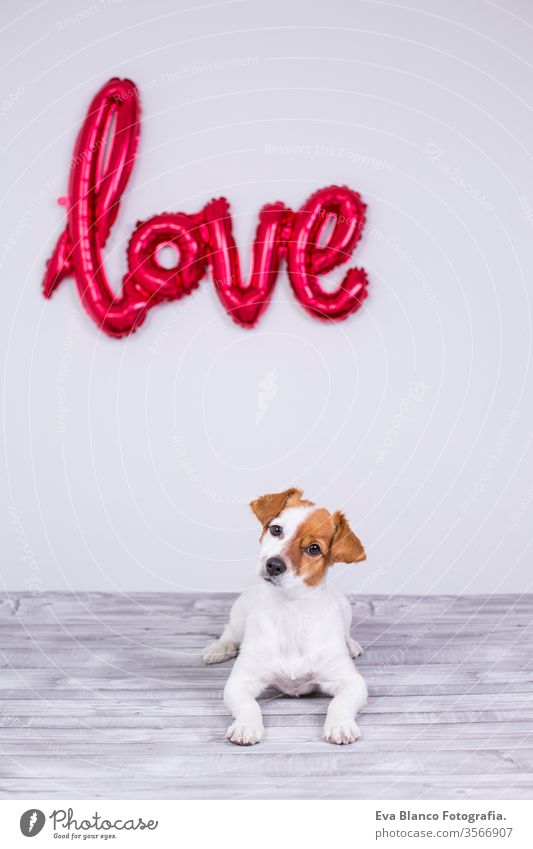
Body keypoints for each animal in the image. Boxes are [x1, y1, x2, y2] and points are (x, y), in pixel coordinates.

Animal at [202, 486, 368, 744]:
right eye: (276, 529)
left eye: (313, 549)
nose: (273, 565)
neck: (290, 611)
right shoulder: (240, 681)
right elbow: (249, 705)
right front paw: (246, 726)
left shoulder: (352, 682)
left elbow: (339, 704)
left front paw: (340, 724)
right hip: (238, 614)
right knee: (229, 633)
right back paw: (218, 649)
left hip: (345, 607)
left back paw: (351, 644)